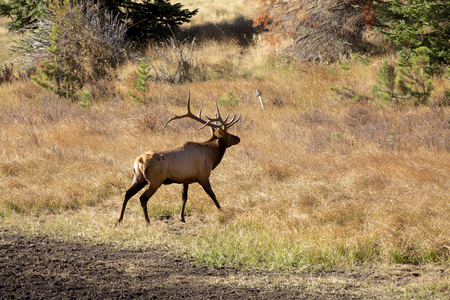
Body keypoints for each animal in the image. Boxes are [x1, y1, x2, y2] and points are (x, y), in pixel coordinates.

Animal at [117, 94, 243, 225]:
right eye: (228, 134)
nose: (238, 138)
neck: (211, 156)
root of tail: (138, 161)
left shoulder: (185, 179)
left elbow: (184, 197)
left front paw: (181, 217)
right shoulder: (203, 176)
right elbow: (212, 194)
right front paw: (221, 210)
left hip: (138, 179)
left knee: (127, 193)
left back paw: (119, 220)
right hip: (154, 180)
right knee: (142, 198)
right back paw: (147, 221)